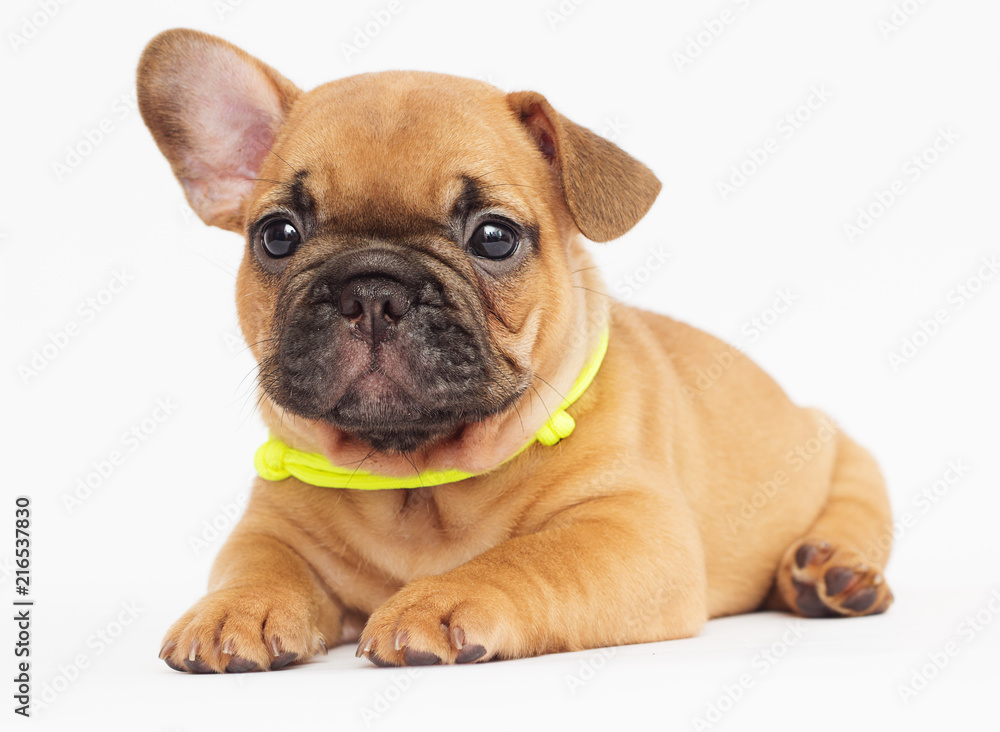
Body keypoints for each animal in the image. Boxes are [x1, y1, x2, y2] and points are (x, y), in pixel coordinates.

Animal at [137, 30, 896, 676]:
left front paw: (441, 599)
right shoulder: (271, 526)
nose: (372, 289)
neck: (415, 476)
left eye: (494, 237)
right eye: (277, 235)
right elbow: (256, 562)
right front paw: (235, 609)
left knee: (855, 509)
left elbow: (531, 557)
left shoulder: (631, 528)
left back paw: (830, 573)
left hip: (845, 456)